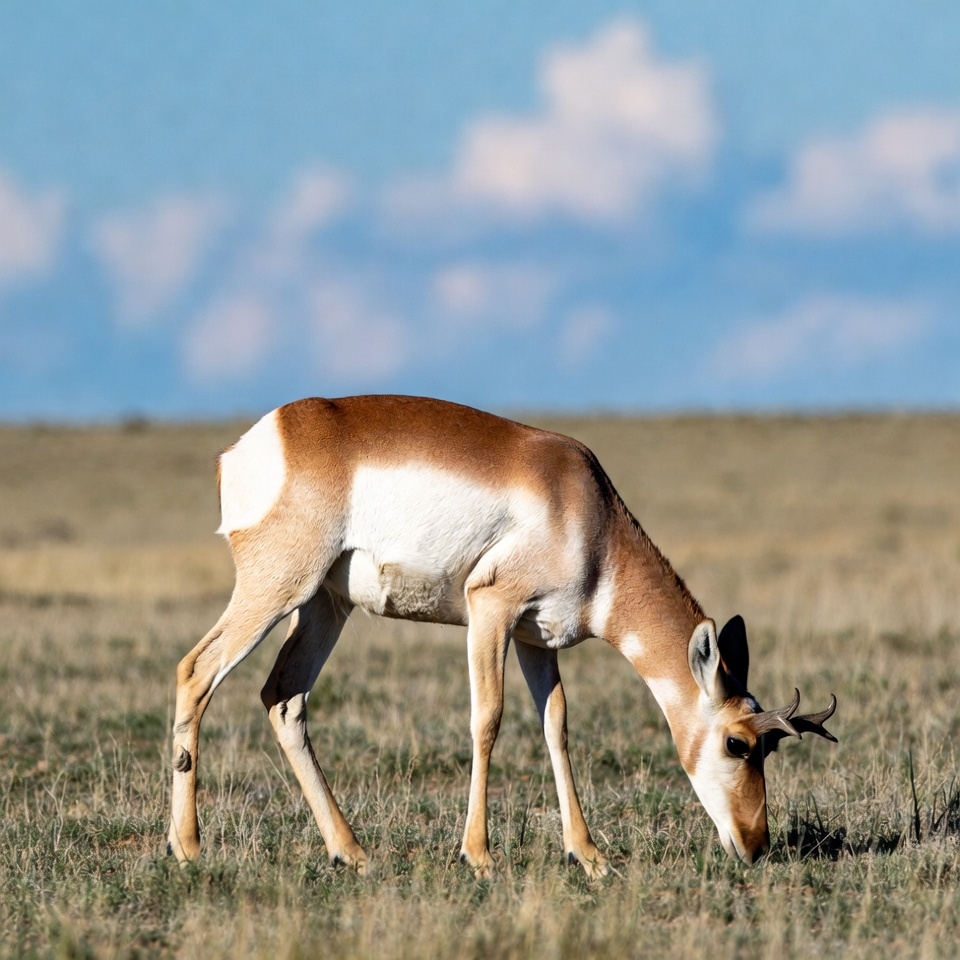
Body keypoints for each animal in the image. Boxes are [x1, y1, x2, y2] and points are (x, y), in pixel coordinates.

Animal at [168, 395, 837, 878]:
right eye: (736, 743)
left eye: (768, 748)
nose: (756, 845)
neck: (585, 510)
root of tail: (264, 438)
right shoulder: (490, 610)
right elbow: (488, 717)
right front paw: (480, 856)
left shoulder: (534, 639)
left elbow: (556, 727)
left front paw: (588, 856)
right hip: (277, 592)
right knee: (196, 671)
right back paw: (189, 848)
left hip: (325, 608)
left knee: (284, 699)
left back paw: (351, 852)